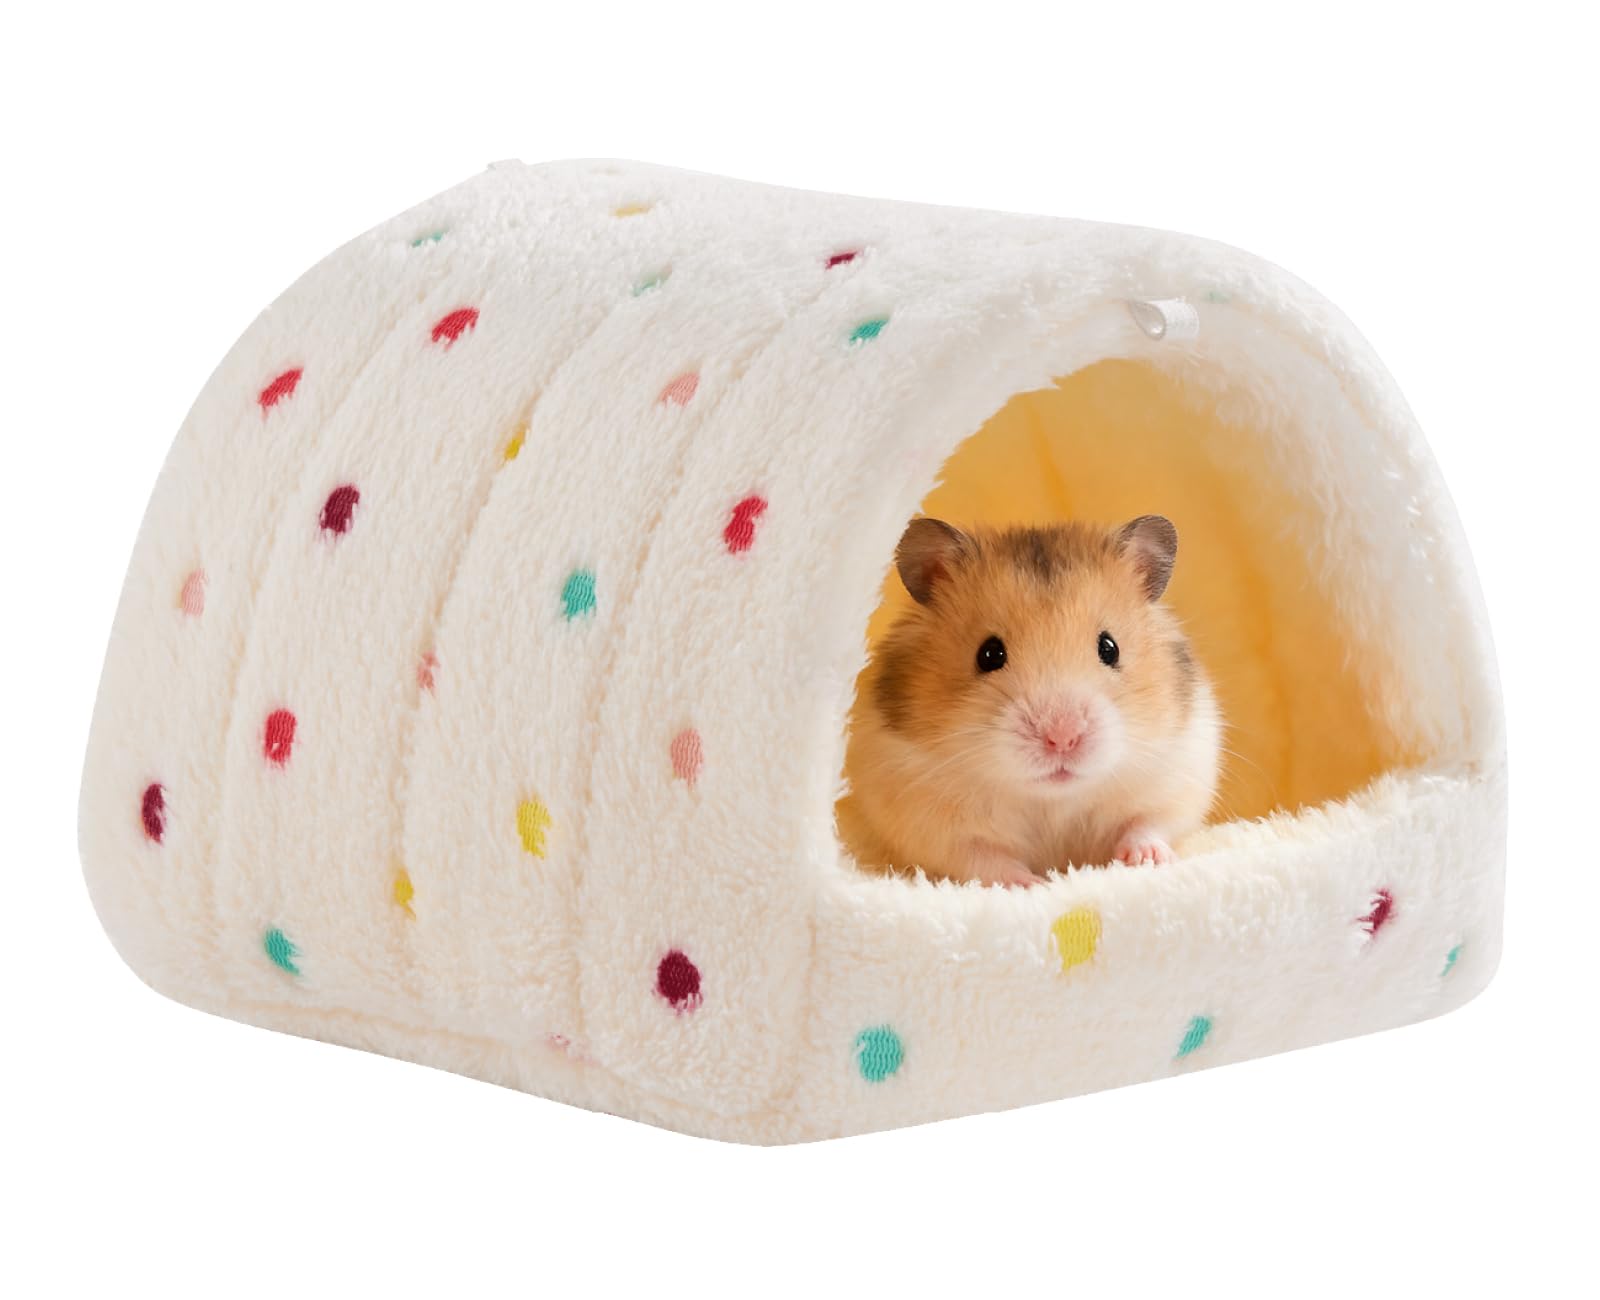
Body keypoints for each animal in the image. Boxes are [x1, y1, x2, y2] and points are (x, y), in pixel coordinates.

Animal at [837, 515, 1221, 887]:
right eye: (989, 654)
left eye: (1109, 648)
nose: (1062, 738)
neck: (1050, 799)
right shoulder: (930, 824)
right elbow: (981, 858)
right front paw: (1032, 883)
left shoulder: (1176, 777)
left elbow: (1149, 824)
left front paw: (1144, 860)